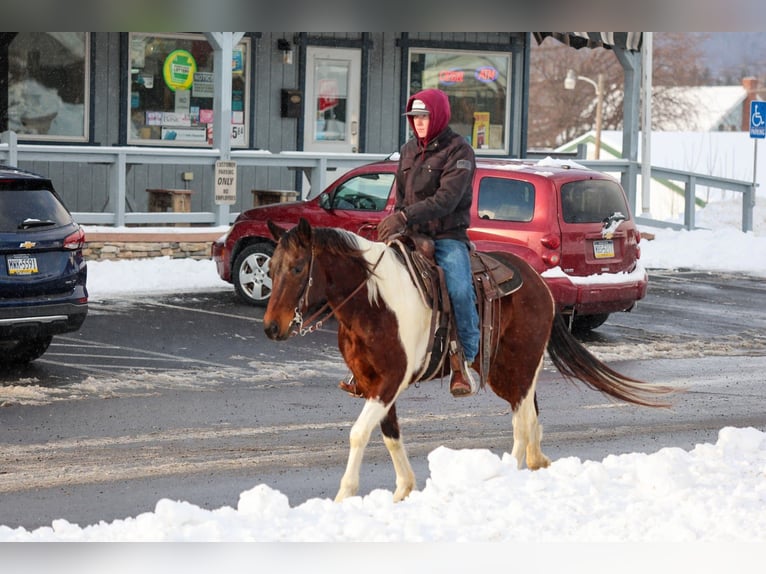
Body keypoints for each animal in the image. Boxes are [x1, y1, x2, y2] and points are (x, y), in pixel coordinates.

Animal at [263, 218, 673, 503]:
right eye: (270, 269)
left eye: (297, 268)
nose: (271, 327)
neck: (373, 301)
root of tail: (540, 283)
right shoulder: (372, 381)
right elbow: (390, 434)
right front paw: (404, 490)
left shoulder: (390, 380)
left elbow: (359, 433)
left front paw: (344, 495)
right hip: (510, 371)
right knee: (530, 416)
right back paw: (535, 462)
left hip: (517, 366)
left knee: (522, 422)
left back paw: (513, 470)